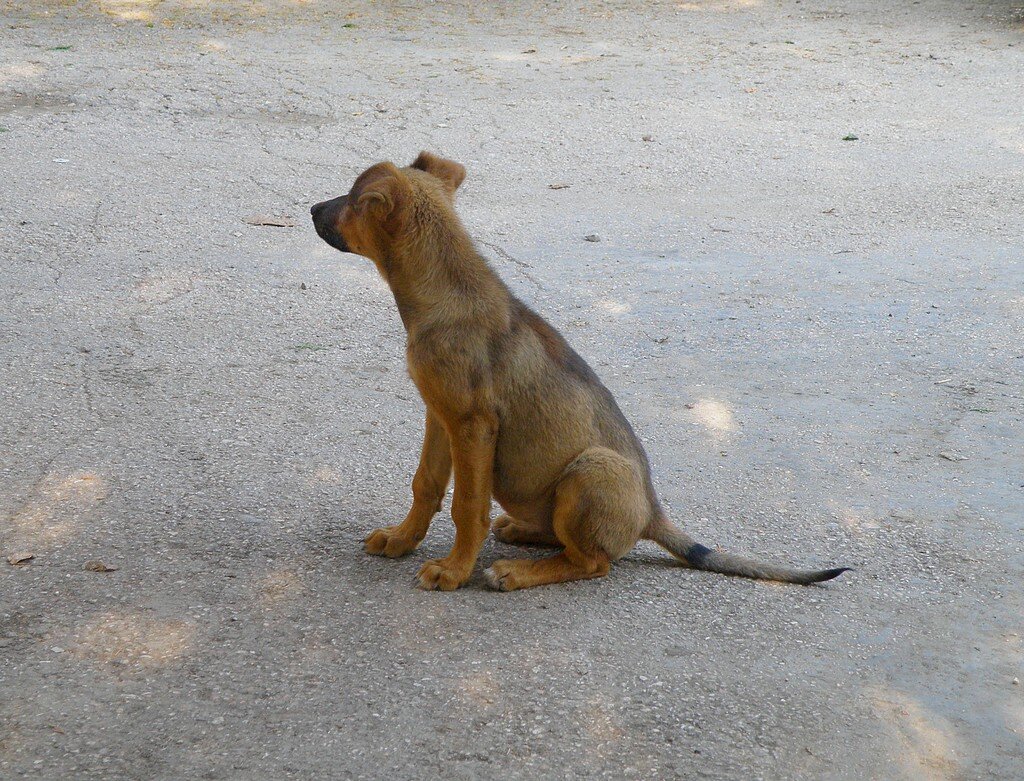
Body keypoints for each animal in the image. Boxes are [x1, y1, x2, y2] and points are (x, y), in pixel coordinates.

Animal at [309, 152, 847, 593]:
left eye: (352, 200)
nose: (311, 208)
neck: (445, 295)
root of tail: (652, 513)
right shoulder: (439, 414)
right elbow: (425, 485)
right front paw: (402, 539)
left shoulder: (472, 424)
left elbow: (468, 506)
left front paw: (454, 570)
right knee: (566, 542)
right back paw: (522, 531)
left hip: (590, 470)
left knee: (592, 561)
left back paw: (515, 572)